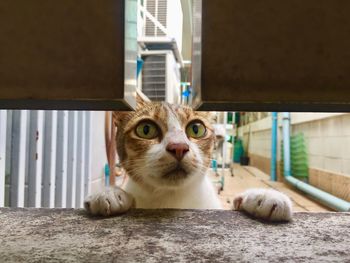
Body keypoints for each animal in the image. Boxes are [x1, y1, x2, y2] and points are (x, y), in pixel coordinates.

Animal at [85, 102, 292, 222]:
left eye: (196, 129)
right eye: (145, 129)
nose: (178, 147)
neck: (172, 199)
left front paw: (262, 197)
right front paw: (110, 193)